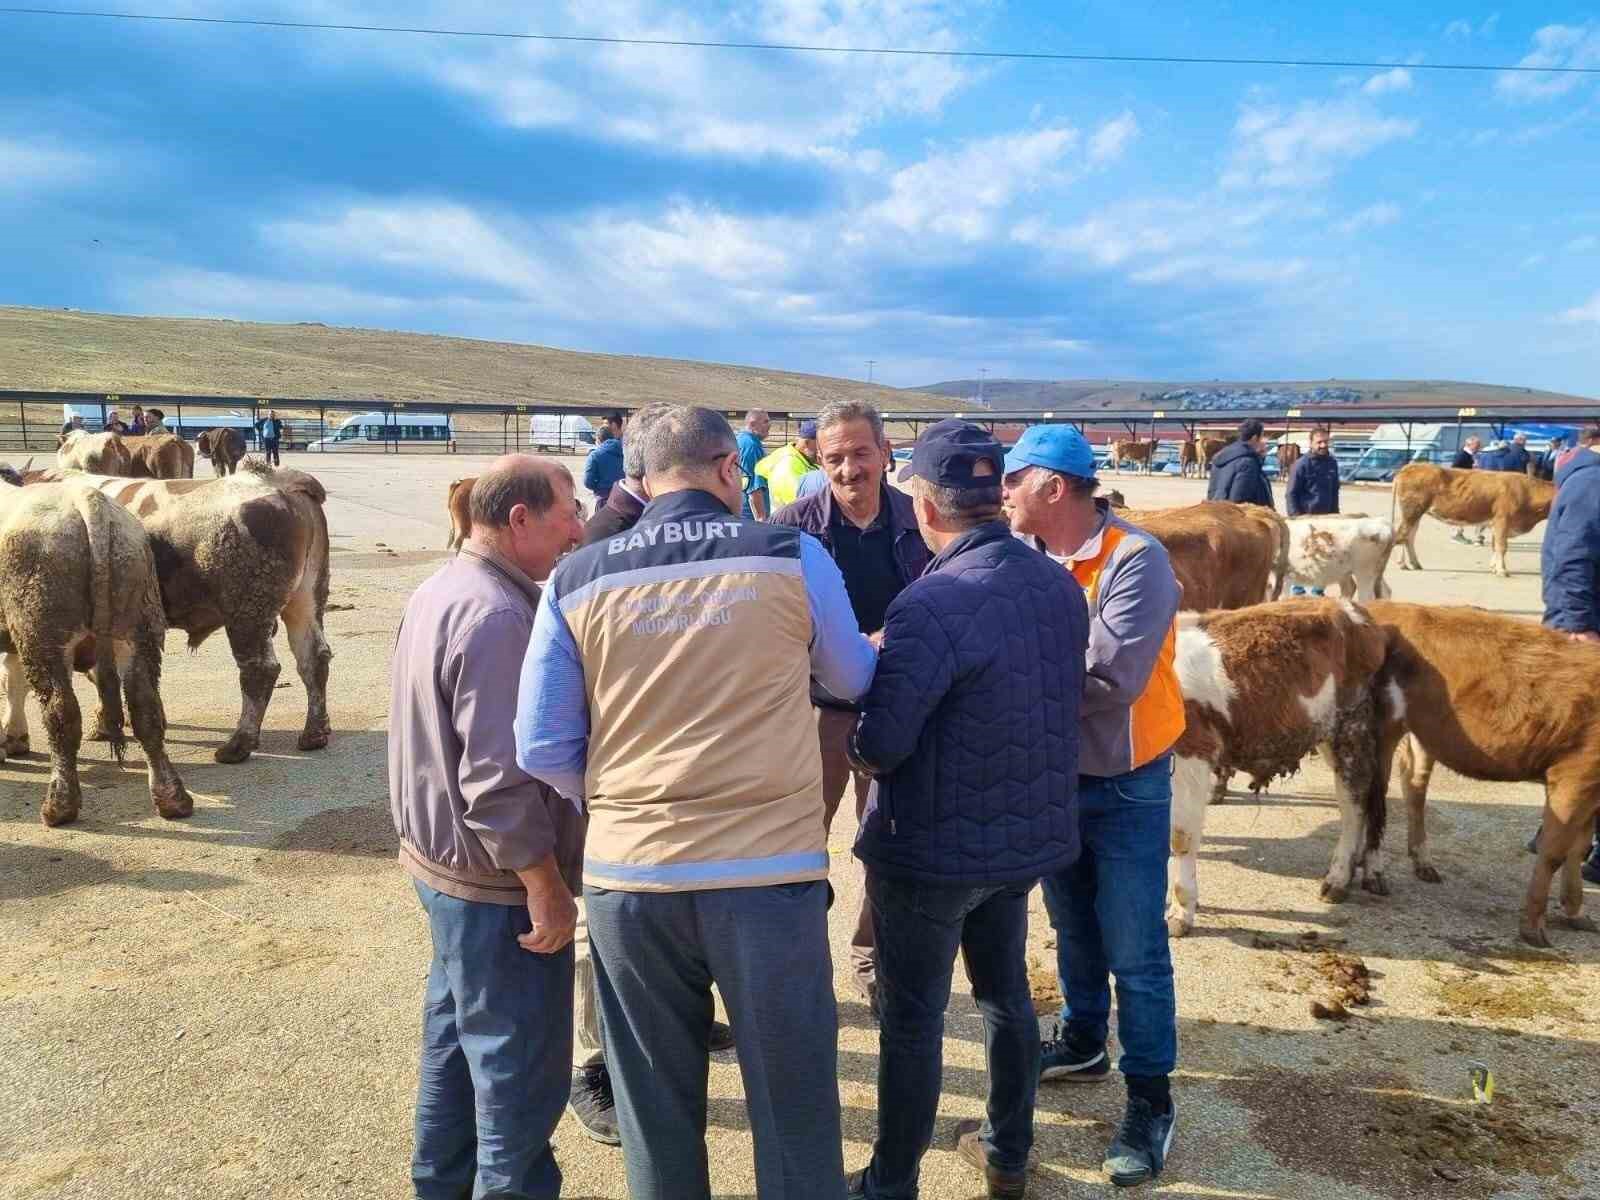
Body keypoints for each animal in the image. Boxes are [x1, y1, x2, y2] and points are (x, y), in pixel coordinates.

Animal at [0, 480, 190, 825]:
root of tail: (86, 500)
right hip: (139, 626)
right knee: (146, 707)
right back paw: (173, 800)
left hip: (42, 633)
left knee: (61, 714)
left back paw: (59, 806)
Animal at [1164, 601, 1388, 940]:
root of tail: (1349, 607)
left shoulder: (1191, 754)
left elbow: (1181, 837)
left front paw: (1180, 912)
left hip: (1352, 727)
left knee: (1356, 805)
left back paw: (1338, 878)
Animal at [1363, 601, 1600, 947]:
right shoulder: (1575, 772)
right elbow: (1554, 851)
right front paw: (1534, 929)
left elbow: (1579, 847)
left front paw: (1576, 913)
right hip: (1381, 725)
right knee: (1374, 796)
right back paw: (1374, 875)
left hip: (1424, 733)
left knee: (1413, 784)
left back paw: (1423, 863)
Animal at [1395, 464, 1555, 579]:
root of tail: (1411, 467)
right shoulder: (1502, 520)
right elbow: (1502, 546)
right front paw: (1502, 570)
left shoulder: (1496, 523)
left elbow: (1495, 546)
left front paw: (1494, 568)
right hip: (1412, 511)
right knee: (1403, 534)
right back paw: (1402, 564)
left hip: (1416, 514)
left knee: (1409, 537)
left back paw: (1415, 563)